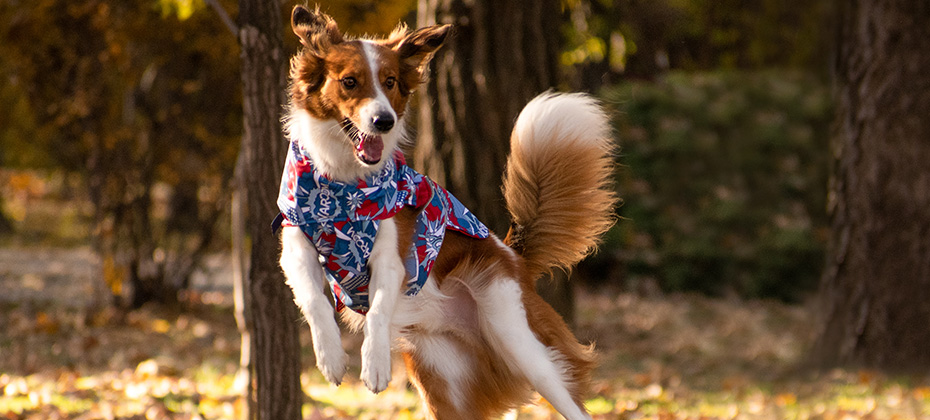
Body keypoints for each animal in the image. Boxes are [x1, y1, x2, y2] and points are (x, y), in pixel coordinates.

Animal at [280, 4, 620, 418]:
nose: (384, 121)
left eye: (390, 82)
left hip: (522, 342)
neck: (343, 186)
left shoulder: (392, 259)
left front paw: (374, 364)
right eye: (349, 82)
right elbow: (314, 301)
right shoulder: (295, 249)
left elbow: (377, 310)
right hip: (443, 386)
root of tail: (515, 258)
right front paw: (330, 358)